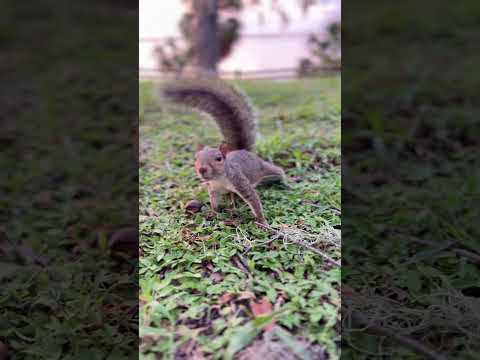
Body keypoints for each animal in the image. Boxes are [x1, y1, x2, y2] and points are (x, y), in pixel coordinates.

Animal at [163, 77, 286, 226]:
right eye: (196, 158)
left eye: (219, 158)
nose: (202, 169)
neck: (219, 179)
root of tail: (243, 150)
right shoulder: (214, 189)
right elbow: (214, 202)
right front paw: (213, 213)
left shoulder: (239, 181)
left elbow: (253, 200)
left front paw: (262, 222)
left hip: (266, 169)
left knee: (278, 173)